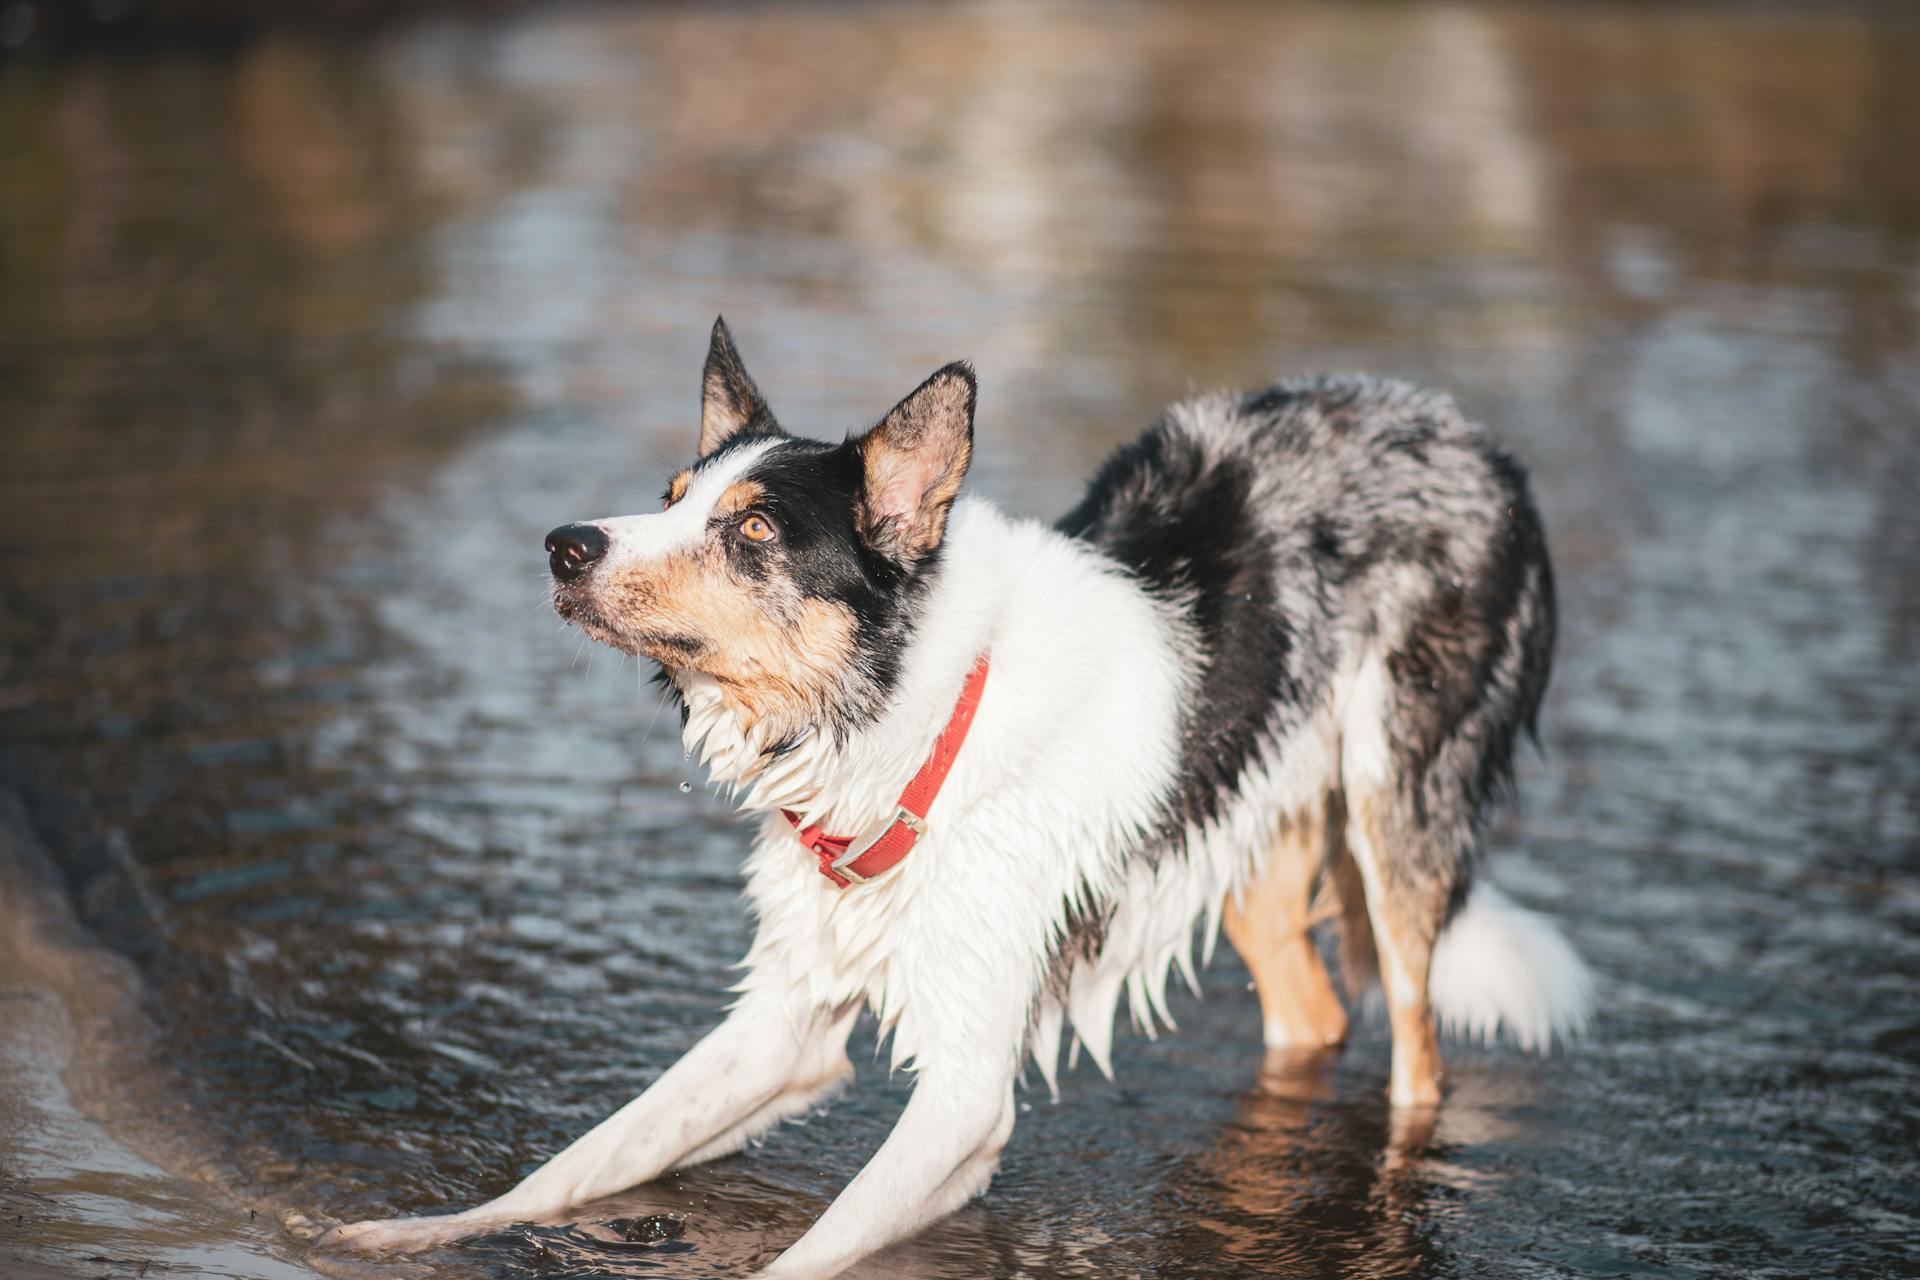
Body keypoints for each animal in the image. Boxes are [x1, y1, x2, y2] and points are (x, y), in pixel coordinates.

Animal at [326, 318, 1589, 1274]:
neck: (915, 730)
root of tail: (1480, 442)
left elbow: (804, 1255)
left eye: (752, 529)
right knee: (1313, 1015)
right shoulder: (780, 1027)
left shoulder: (968, 1097)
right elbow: (579, 1159)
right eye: (672, 495)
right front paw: (411, 1232)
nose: (562, 544)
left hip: (1392, 826)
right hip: (1238, 825)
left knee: (1415, 1058)